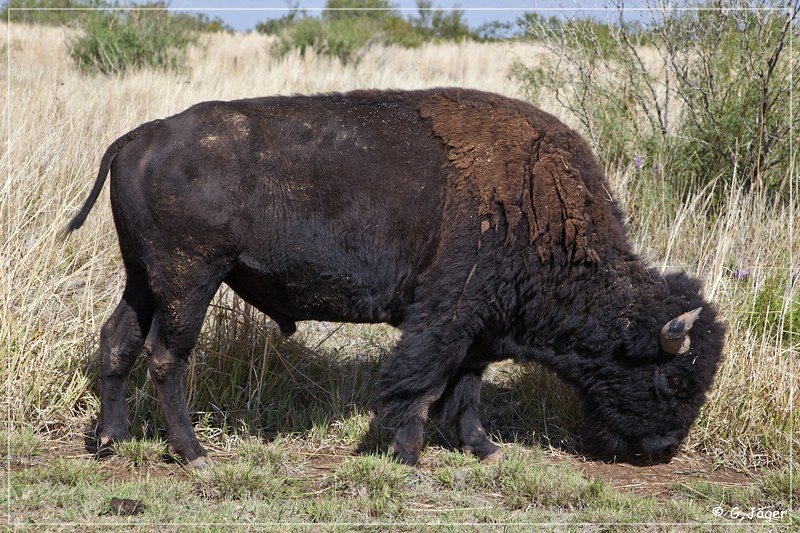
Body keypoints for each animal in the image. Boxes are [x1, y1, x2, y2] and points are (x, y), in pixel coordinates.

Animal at [67, 89, 724, 468]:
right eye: (672, 381)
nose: (663, 452)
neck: (538, 205)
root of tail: (140, 135)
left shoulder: (478, 326)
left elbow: (466, 387)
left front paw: (483, 449)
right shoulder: (447, 314)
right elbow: (421, 381)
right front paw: (408, 453)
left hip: (143, 279)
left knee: (119, 340)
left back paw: (109, 439)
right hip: (189, 280)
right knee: (166, 356)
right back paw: (194, 454)